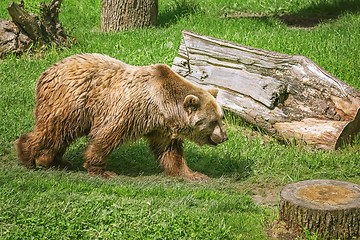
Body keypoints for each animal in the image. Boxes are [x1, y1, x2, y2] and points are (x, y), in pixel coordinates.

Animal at [14, 53, 228, 181]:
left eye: (221, 117)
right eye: (213, 121)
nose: (224, 137)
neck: (162, 106)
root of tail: (46, 71)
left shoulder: (161, 128)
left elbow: (170, 151)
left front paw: (192, 174)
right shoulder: (128, 111)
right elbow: (106, 136)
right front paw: (101, 170)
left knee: (61, 135)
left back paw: (53, 160)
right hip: (70, 102)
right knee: (53, 130)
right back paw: (26, 155)